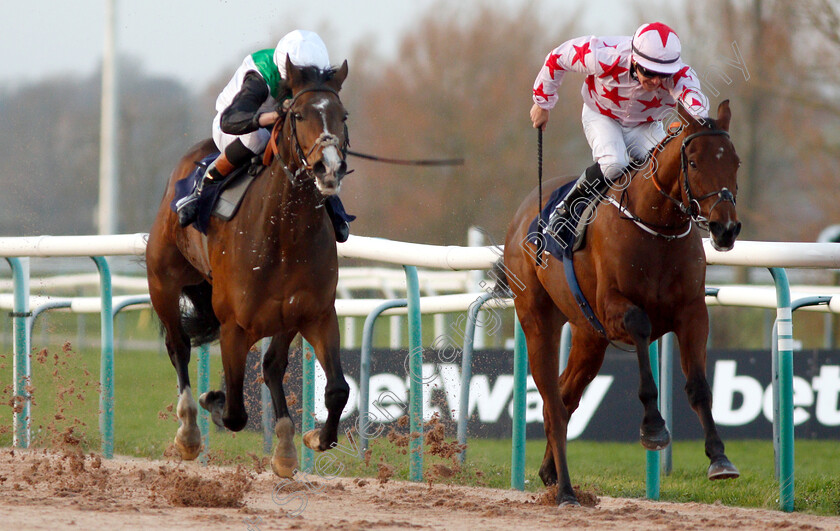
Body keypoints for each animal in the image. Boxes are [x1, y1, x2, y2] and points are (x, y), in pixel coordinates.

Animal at [146, 58, 350, 478]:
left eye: (343, 116)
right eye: (298, 114)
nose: (329, 168)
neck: (284, 234)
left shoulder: (315, 312)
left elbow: (337, 388)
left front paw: (313, 438)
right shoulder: (234, 326)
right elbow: (236, 412)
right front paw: (214, 399)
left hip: (283, 316)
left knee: (272, 365)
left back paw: (286, 446)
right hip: (163, 281)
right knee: (178, 347)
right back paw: (189, 431)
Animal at [498, 101, 740, 508]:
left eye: (735, 161)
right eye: (693, 162)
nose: (726, 229)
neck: (657, 226)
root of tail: (522, 214)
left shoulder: (693, 313)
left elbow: (699, 385)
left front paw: (719, 457)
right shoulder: (614, 310)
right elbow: (641, 332)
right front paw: (654, 427)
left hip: (587, 337)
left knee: (565, 396)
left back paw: (550, 473)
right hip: (538, 319)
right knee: (552, 402)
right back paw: (565, 491)